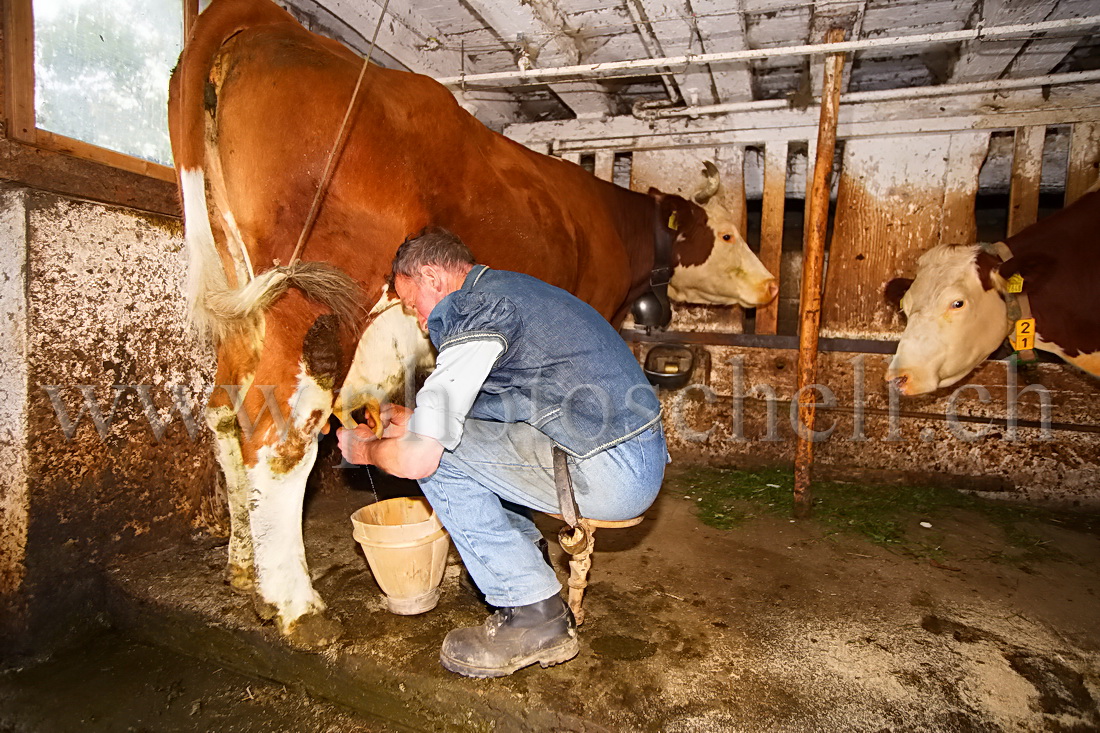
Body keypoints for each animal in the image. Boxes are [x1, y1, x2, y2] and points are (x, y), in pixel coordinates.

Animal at [167, 0, 778, 642]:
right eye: (728, 233)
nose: (770, 284)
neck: (611, 219)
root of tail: (274, 22)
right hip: (314, 299)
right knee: (278, 434)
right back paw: (296, 605)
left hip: (243, 307)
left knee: (225, 416)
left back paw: (244, 571)